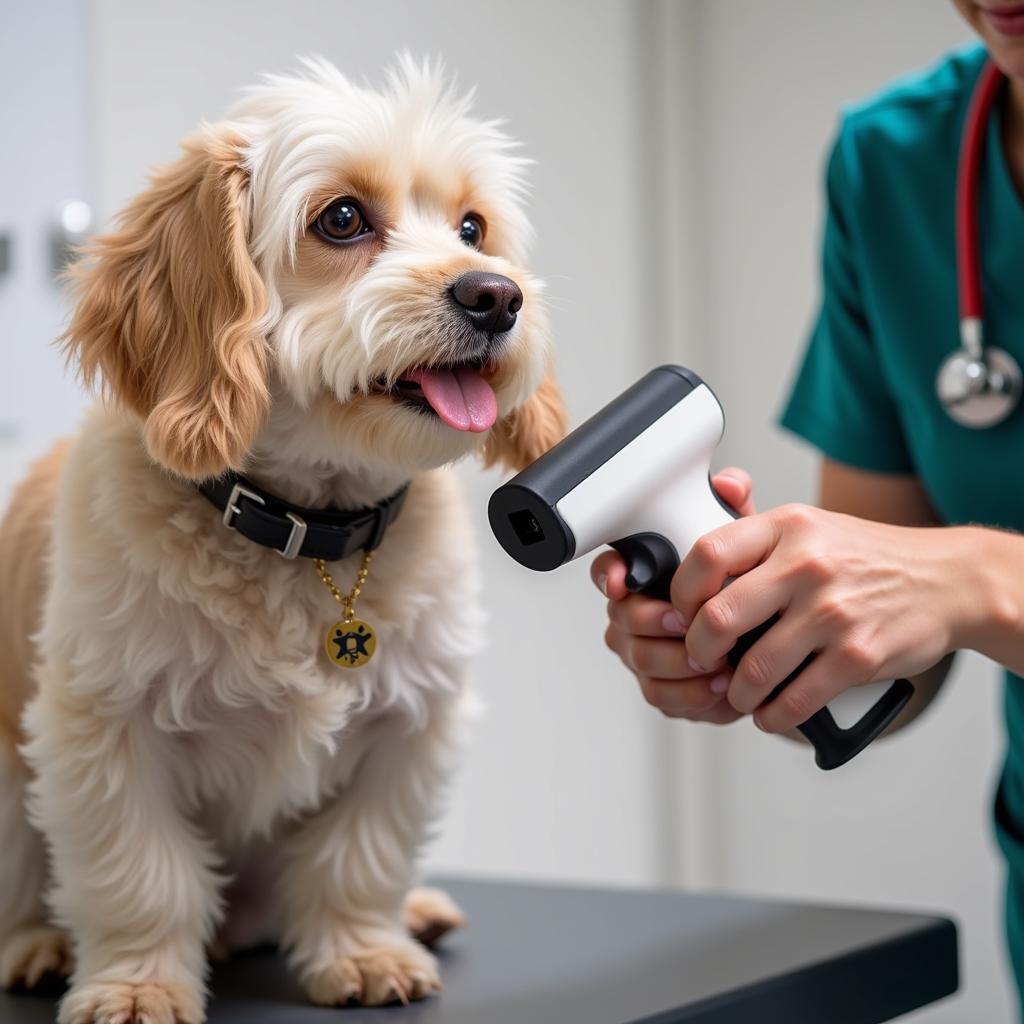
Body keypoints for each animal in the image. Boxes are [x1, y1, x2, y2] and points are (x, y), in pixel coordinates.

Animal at [0, 58, 565, 1024]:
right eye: (341, 218)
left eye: (471, 226)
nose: (496, 295)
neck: (306, 540)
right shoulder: (104, 730)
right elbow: (140, 876)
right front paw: (138, 983)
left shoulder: (410, 726)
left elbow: (360, 860)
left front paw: (365, 950)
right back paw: (37, 944)